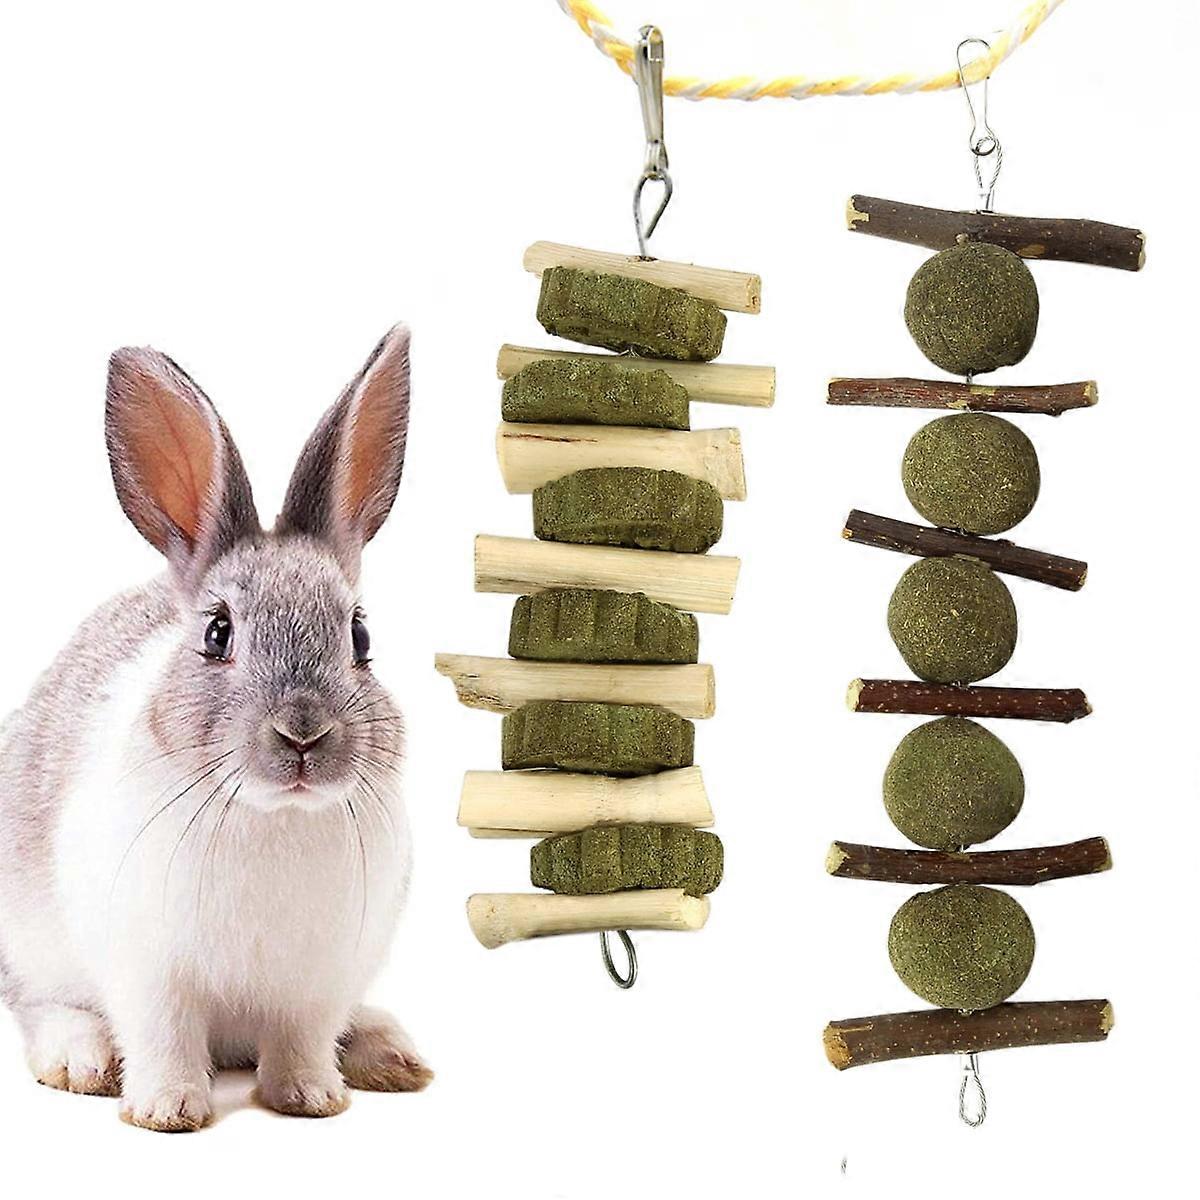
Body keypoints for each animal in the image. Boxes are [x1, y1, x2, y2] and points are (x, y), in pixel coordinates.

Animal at [0, 324, 430, 1131]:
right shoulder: (149, 972)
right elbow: (163, 1035)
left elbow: (301, 1039)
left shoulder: (317, 982)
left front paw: (311, 1098)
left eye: (359, 637)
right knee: (39, 1006)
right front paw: (167, 1110)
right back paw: (81, 1058)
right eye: (216, 633)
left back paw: (388, 1054)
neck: (272, 816)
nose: (302, 734)